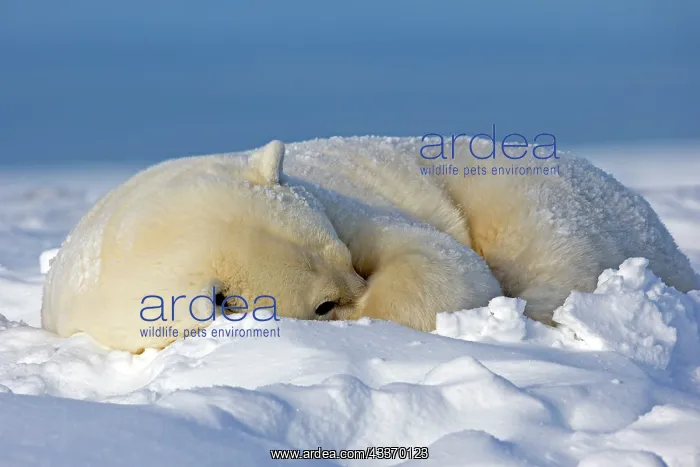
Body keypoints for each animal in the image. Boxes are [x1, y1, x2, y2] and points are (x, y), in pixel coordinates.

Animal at [41, 137, 699, 352]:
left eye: (343, 255)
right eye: (321, 304)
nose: (358, 287)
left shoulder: (344, 202)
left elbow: (439, 260)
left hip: (527, 190)